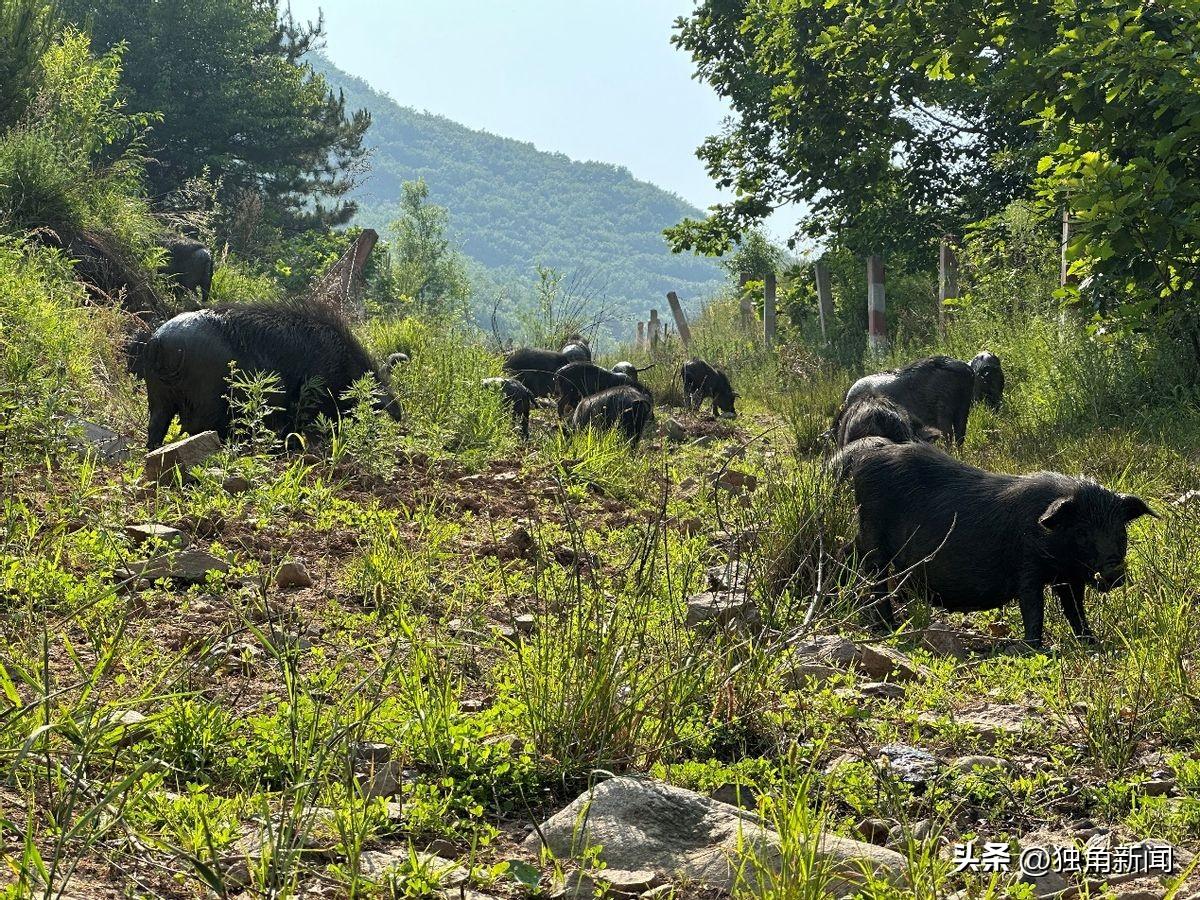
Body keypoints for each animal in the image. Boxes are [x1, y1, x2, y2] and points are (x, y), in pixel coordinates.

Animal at [141, 301, 398, 451]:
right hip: (205, 399)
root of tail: (161, 342)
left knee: (156, 426)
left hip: (158, 397)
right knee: (199, 429)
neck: (341, 366)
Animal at [835, 439, 1152, 643]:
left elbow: (1075, 611)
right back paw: (886, 627)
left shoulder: (1069, 578)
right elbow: (1033, 609)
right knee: (875, 578)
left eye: (1120, 532)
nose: (1113, 573)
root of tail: (863, 460)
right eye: (1083, 532)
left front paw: (1091, 643)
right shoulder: (1028, 568)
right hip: (874, 539)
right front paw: (1033, 647)